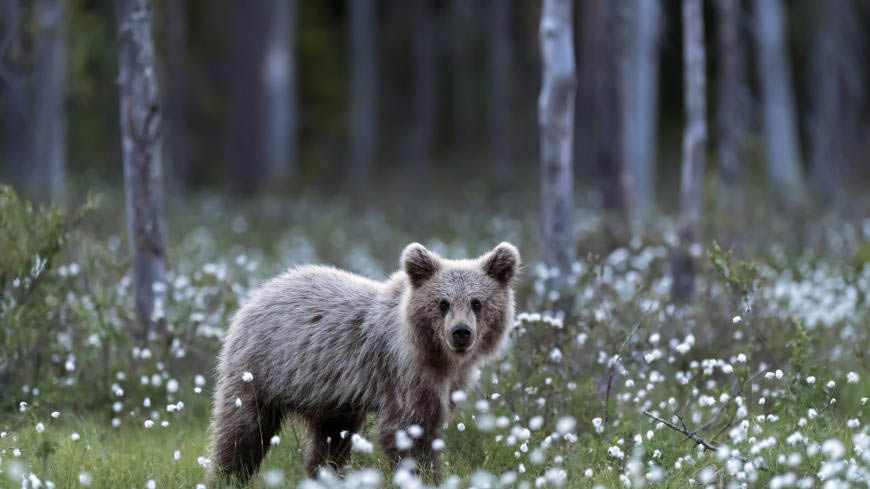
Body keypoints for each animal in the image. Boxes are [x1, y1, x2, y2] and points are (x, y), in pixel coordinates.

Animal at [211, 242, 520, 482]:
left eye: (477, 302)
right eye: (442, 303)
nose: (461, 332)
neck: (434, 353)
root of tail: (261, 290)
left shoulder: (447, 382)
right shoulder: (402, 374)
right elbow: (408, 431)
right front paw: (424, 475)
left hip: (330, 397)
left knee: (329, 442)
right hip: (262, 368)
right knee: (243, 431)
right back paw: (228, 476)